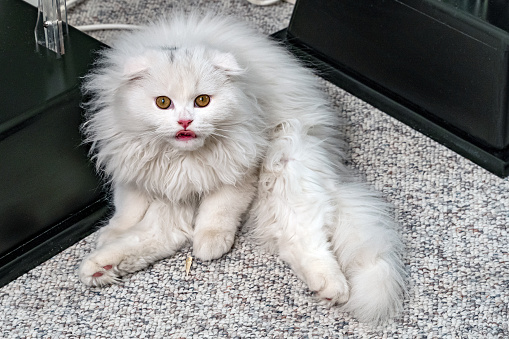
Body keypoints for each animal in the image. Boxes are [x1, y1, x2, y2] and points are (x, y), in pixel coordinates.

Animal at [78, 12, 404, 324]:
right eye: (162, 103)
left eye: (202, 101)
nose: (185, 122)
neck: (184, 161)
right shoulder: (134, 170)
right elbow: (127, 209)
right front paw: (110, 233)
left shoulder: (239, 171)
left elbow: (219, 211)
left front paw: (211, 242)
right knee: (161, 236)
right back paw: (99, 268)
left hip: (287, 165)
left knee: (307, 240)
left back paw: (331, 288)